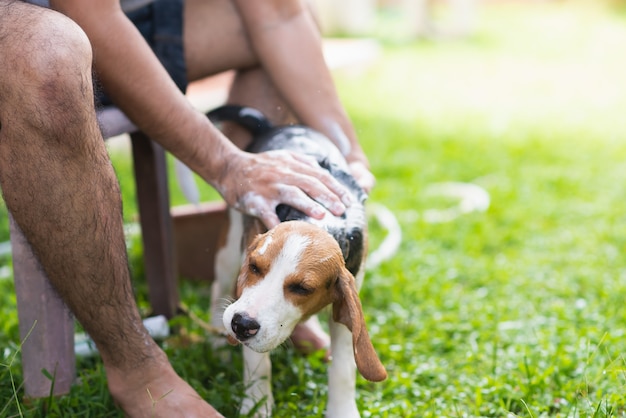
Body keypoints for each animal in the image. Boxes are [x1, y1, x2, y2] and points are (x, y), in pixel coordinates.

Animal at [210, 106, 386, 416]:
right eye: (254, 267)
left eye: (302, 289)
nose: (241, 324)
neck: (321, 217)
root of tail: (273, 127)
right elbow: (258, 364)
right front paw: (256, 404)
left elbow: (344, 367)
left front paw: (342, 410)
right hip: (229, 250)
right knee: (217, 288)